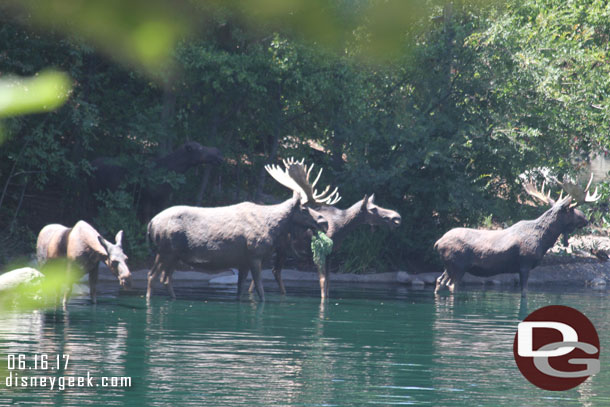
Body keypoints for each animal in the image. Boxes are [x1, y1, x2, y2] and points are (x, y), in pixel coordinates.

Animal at [145, 164, 330, 302]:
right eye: (304, 209)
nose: (324, 222)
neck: (273, 228)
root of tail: (150, 223)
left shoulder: (243, 262)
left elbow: (240, 291)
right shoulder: (255, 255)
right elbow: (260, 291)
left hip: (174, 255)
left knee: (165, 279)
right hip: (166, 250)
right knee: (153, 276)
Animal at [251, 160, 400, 300]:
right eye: (374, 209)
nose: (397, 217)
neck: (342, 228)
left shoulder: (331, 254)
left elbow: (329, 281)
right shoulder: (319, 251)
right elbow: (322, 280)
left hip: (282, 250)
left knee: (272, 271)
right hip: (276, 248)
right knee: (268, 271)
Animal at [432, 175, 600, 296]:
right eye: (572, 210)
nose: (586, 219)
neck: (544, 239)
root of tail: (437, 242)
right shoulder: (525, 263)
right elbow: (524, 292)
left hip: (448, 265)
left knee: (439, 281)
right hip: (458, 266)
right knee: (452, 286)